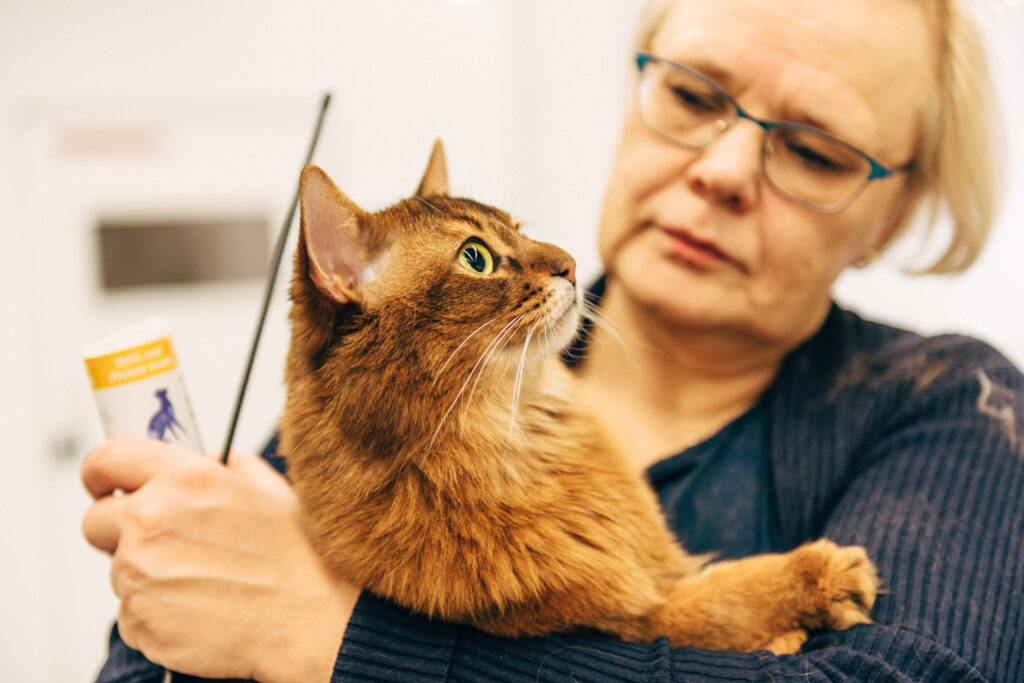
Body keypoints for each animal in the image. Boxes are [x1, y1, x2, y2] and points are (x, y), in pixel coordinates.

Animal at [280, 140, 880, 655]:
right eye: (475, 258)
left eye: (519, 229)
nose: (568, 262)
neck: (525, 433)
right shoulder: (631, 621)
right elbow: (721, 601)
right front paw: (819, 579)